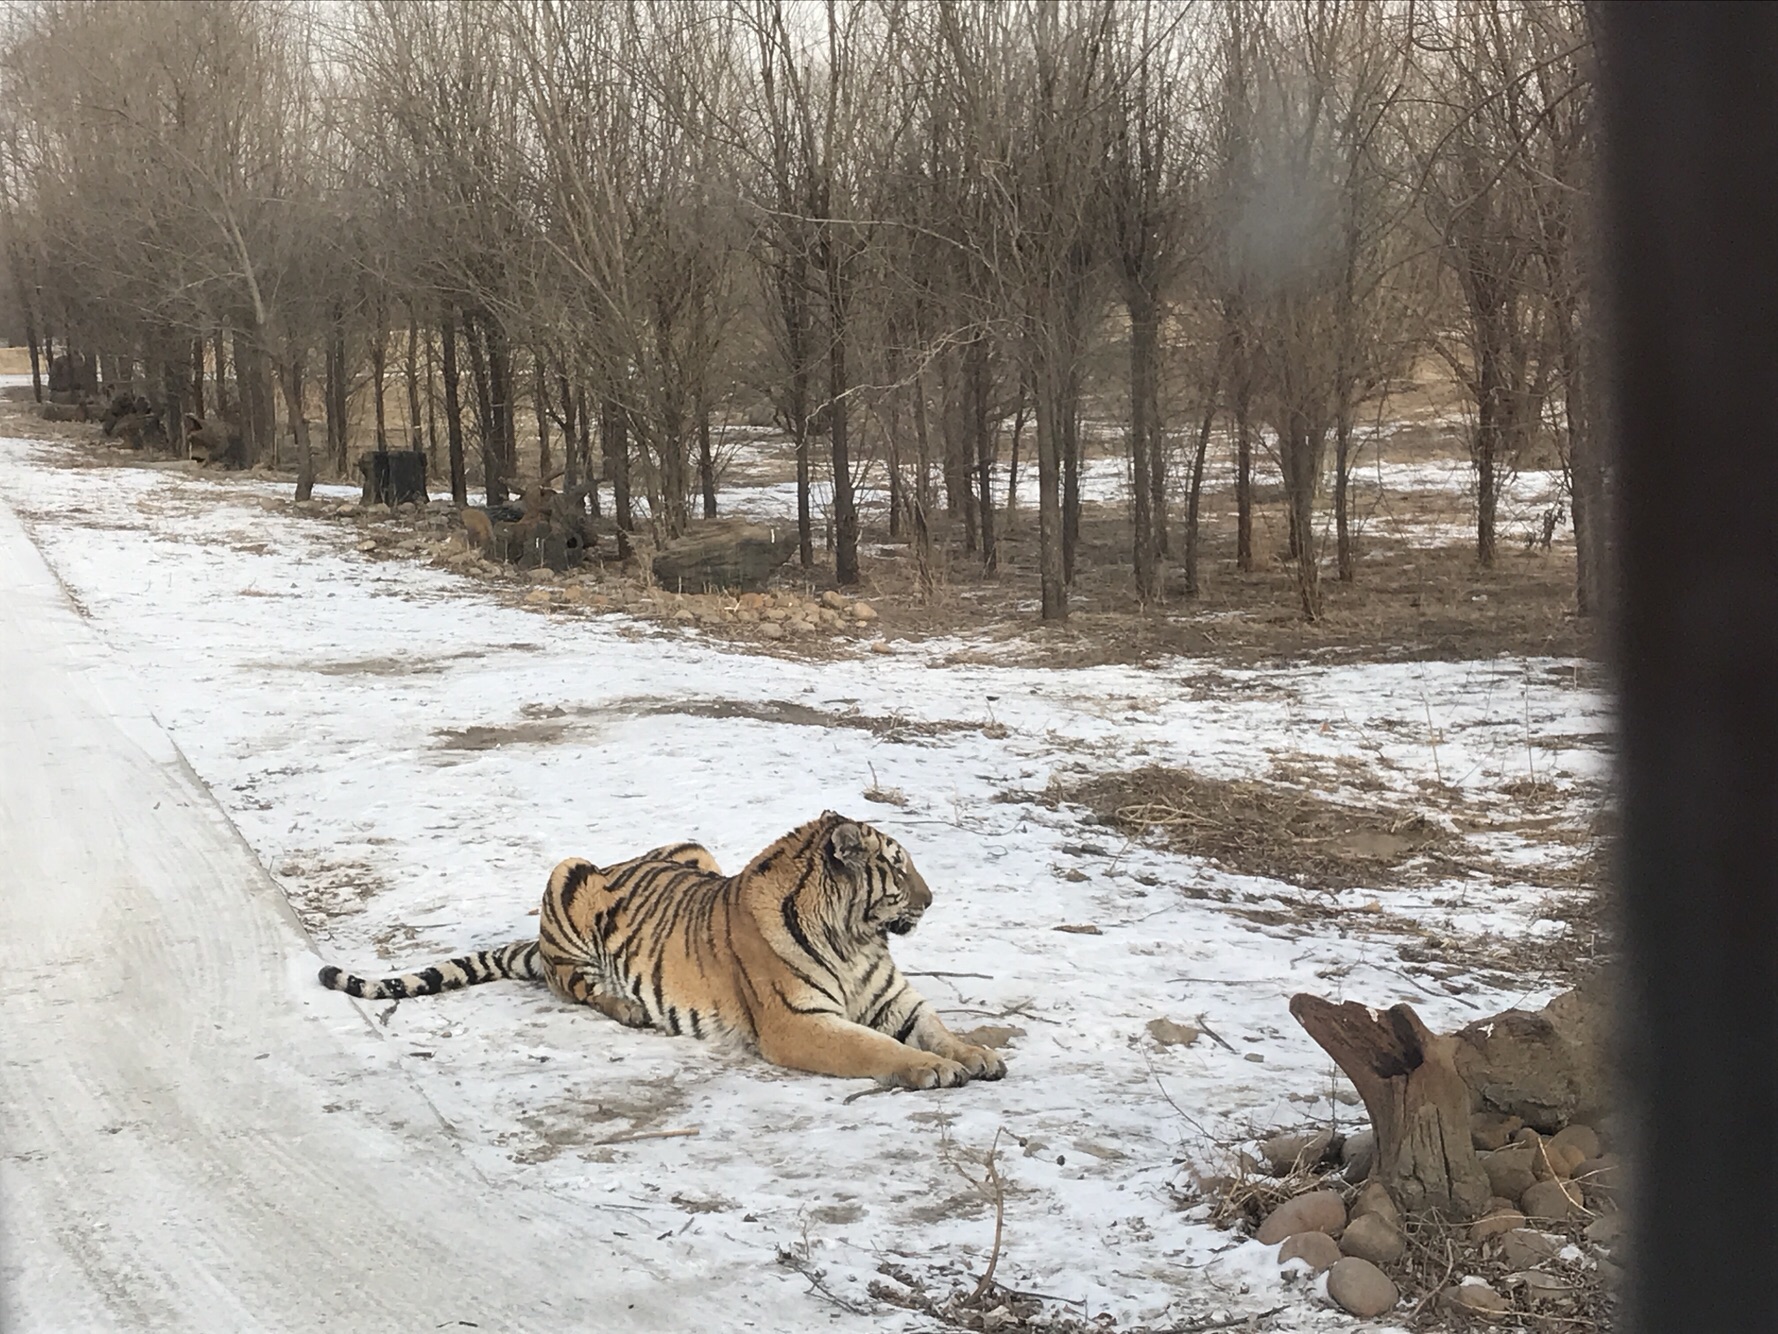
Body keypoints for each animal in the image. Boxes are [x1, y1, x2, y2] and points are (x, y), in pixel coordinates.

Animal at [317, 813, 1006, 1089]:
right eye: (899, 866)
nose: (932, 898)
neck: (855, 938)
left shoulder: (896, 1001)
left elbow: (938, 1028)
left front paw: (977, 1054)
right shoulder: (799, 1024)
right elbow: (876, 1048)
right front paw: (931, 1070)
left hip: (690, 846)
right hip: (566, 875)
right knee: (571, 982)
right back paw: (628, 1008)